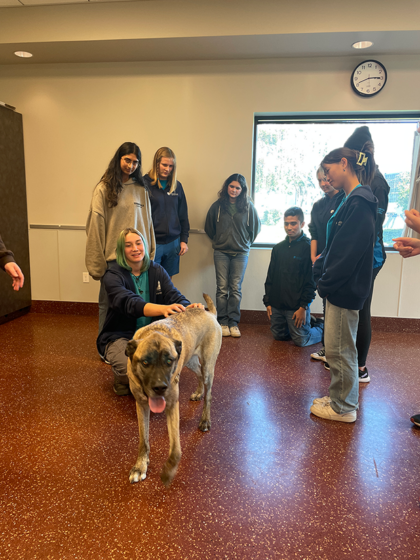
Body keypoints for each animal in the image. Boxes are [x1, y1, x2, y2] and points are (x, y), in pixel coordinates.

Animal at [125, 294, 221, 486]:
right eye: (145, 362)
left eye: (169, 361)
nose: (160, 387)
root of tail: (210, 314)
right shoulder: (141, 404)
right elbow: (143, 440)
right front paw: (140, 466)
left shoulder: (171, 405)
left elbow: (176, 450)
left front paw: (168, 472)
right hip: (190, 360)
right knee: (199, 373)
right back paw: (198, 392)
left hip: (208, 366)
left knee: (208, 392)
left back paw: (205, 419)